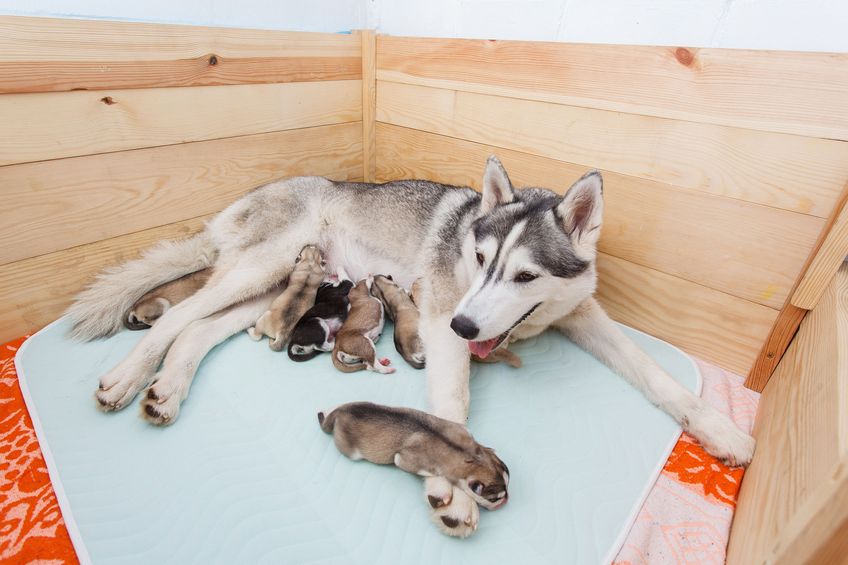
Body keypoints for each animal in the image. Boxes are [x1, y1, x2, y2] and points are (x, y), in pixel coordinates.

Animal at [316, 398, 504, 512]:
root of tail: (341, 412)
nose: (506, 501)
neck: (472, 456)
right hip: (350, 450)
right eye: (494, 499)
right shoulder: (403, 459)